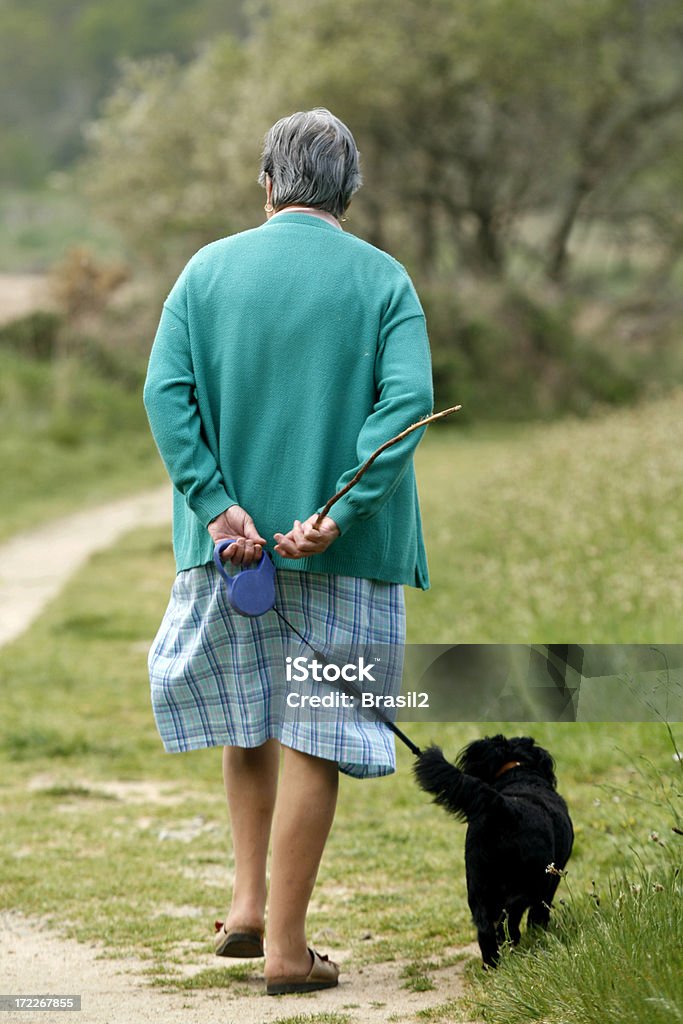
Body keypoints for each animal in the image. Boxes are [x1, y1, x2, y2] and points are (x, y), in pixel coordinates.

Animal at [413, 733, 573, 962]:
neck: (519, 774)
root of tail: (502, 807)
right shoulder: (551, 880)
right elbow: (539, 913)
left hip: (477, 886)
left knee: (485, 928)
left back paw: (492, 961)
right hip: (528, 883)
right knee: (510, 915)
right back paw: (510, 940)